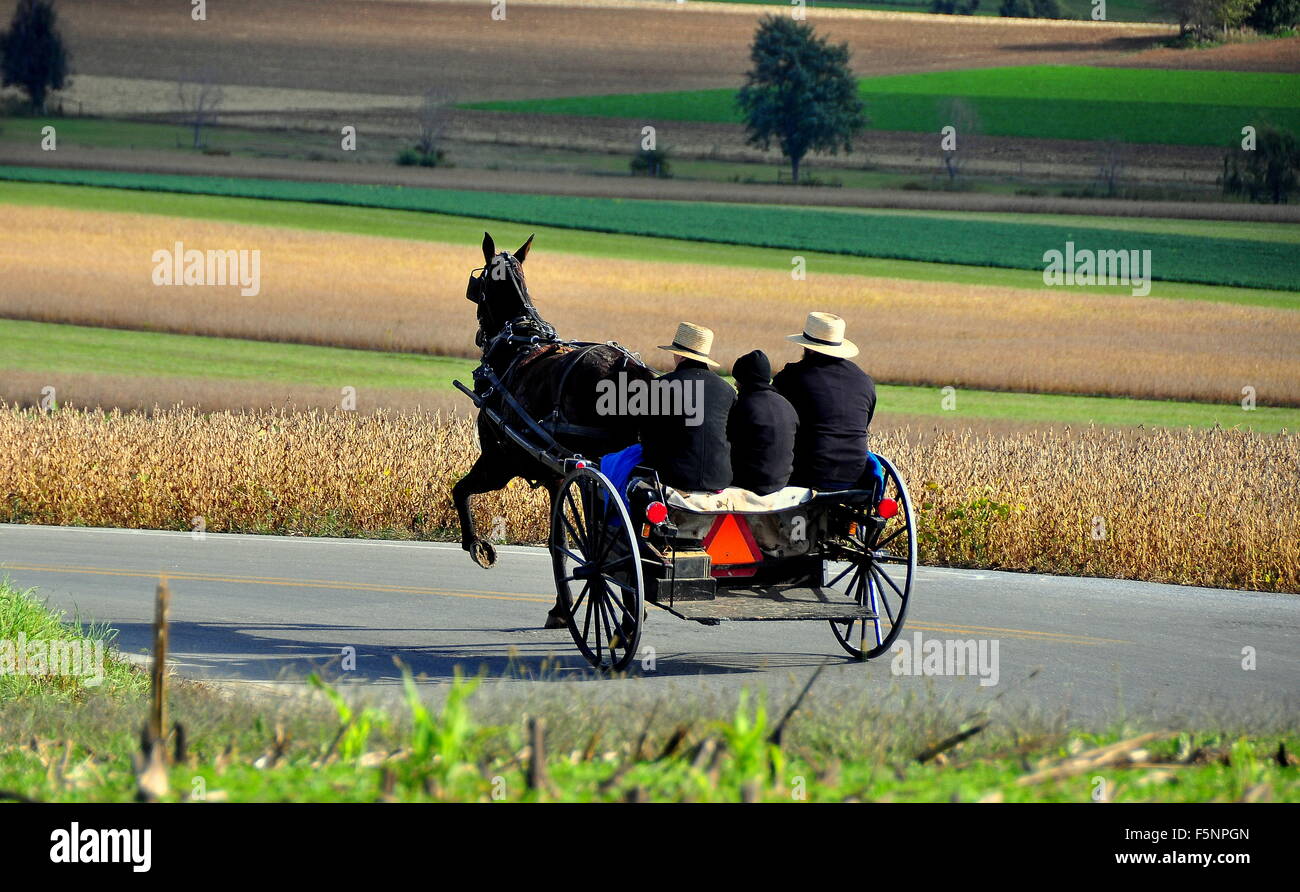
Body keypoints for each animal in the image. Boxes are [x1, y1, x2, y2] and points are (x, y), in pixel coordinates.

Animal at [454, 232, 655, 629]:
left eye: (478, 284)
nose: (481, 334)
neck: (517, 343)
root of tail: (628, 367)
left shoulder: (501, 463)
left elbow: (462, 491)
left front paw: (478, 546)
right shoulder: (556, 476)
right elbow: (561, 539)